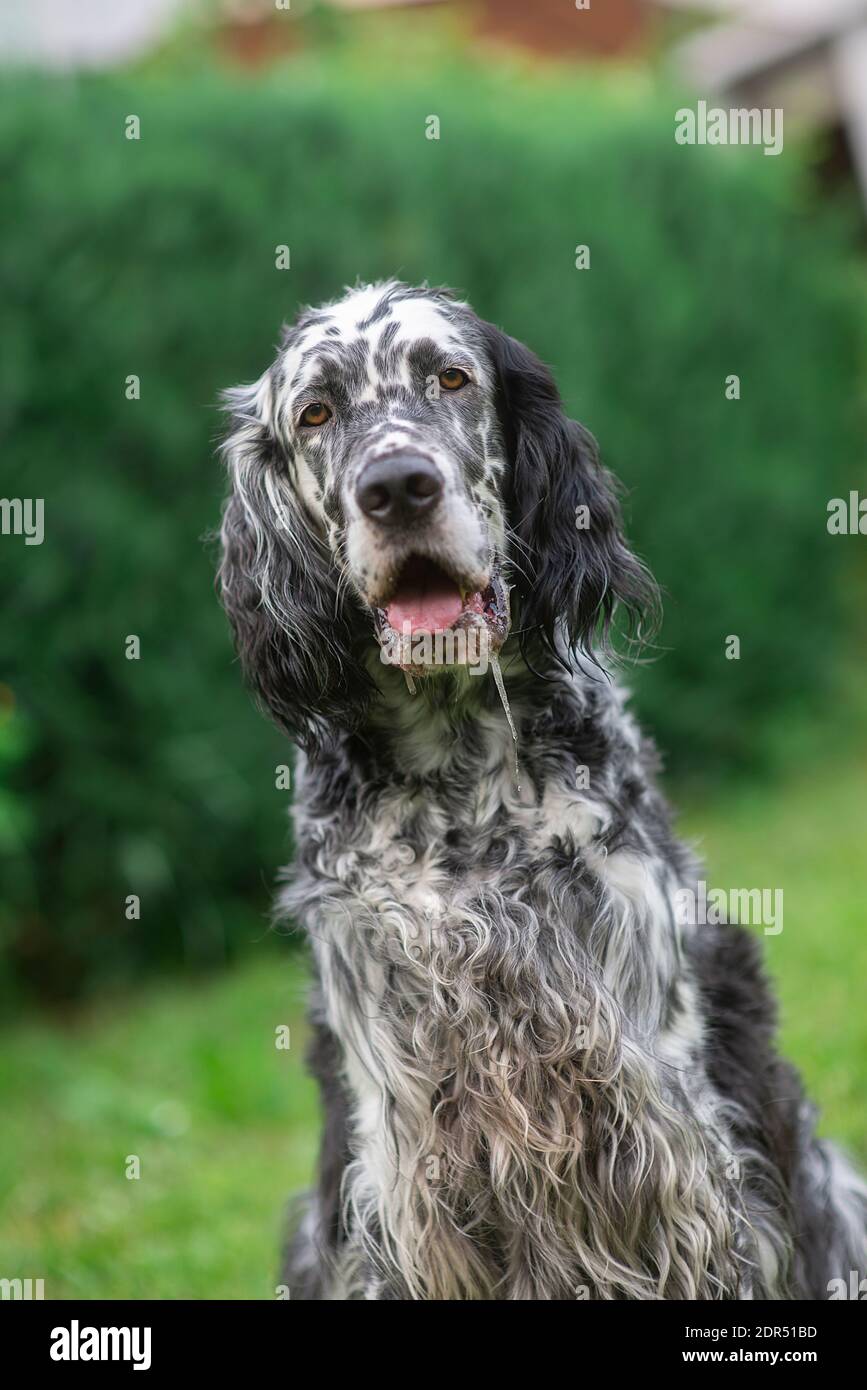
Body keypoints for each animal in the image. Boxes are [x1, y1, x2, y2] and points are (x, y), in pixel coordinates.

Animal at [218, 276, 867, 1295]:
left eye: (449, 378)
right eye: (315, 413)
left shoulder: (675, 1149)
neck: (458, 796)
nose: (397, 487)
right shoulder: (400, 1170)